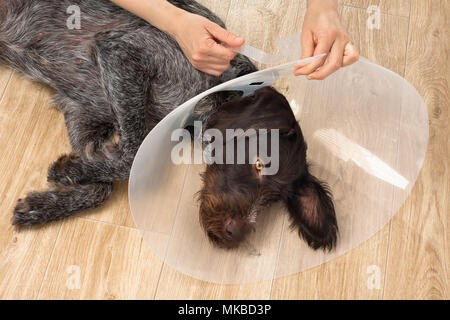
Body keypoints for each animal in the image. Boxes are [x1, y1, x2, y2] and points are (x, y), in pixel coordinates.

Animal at [0, 0, 338, 250]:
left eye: (274, 198)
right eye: (258, 164)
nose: (236, 234)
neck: (214, 88)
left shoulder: (81, 111)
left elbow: (101, 186)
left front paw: (46, 201)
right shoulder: (122, 53)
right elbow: (130, 156)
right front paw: (66, 177)